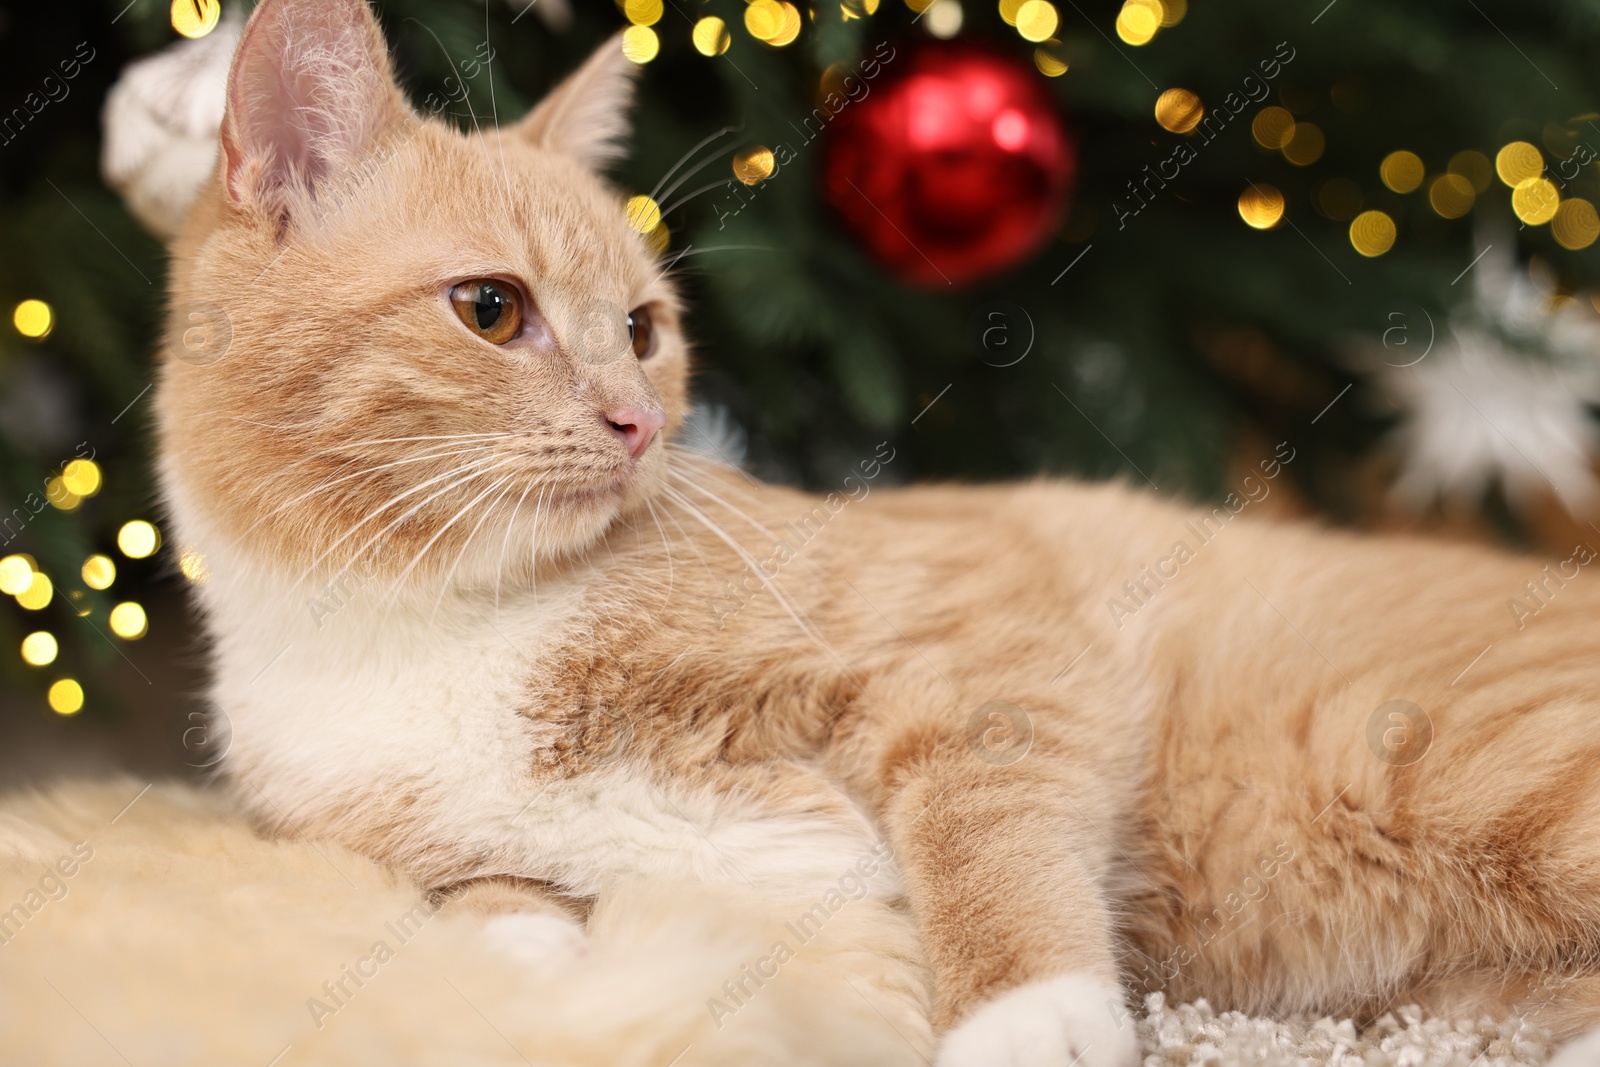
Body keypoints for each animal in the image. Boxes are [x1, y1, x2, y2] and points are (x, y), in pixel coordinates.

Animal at [156, 0, 1600, 1062]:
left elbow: (985, 828)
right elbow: (483, 899)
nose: (639, 421)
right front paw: (531, 959)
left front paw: (1027, 1013)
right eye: (493, 310)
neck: (425, 622)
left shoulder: (985, 647)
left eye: (641, 327)